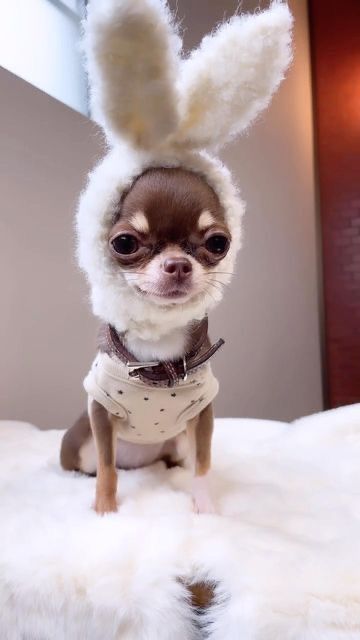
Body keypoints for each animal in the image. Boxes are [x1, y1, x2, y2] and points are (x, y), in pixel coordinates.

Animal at [57, 0, 292, 516]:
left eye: (218, 243)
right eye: (125, 243)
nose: (179, 265)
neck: (159, 350)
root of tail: (144, 459)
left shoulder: (202, 416)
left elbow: (203, 464)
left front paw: (205, 510)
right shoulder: (99, 411)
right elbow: (108, 469)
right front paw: (105, 513)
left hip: (176, 441)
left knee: (179, 460)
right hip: (78, 444)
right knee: (98, 465)